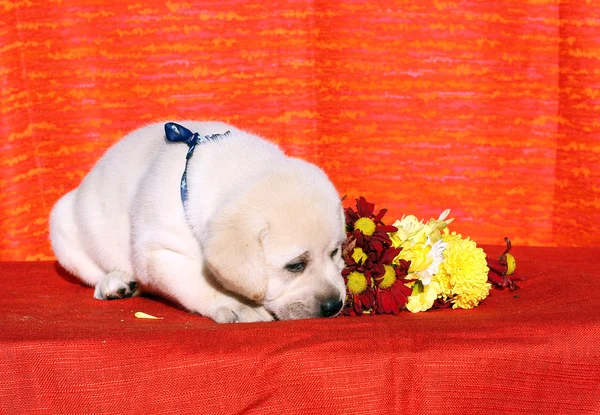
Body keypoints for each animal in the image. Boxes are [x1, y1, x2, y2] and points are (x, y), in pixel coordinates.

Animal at [49, 122, 350, 324]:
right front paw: (237, 305)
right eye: (295, 265)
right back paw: (114, 282)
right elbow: (199, 283)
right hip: (62, 226)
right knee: (94, 274)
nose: (334, 305)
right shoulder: (160, 252)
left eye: (335, 252)